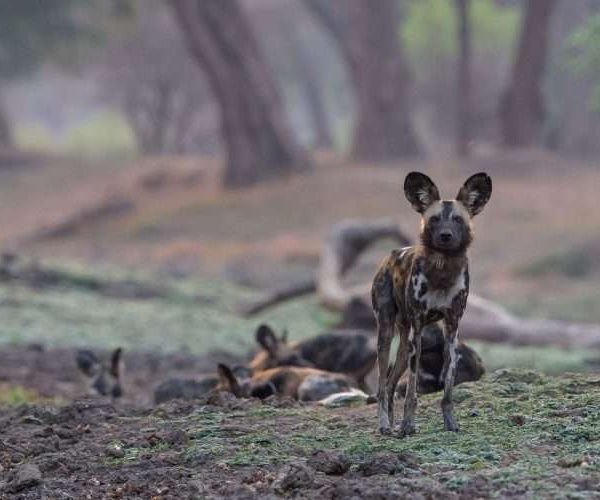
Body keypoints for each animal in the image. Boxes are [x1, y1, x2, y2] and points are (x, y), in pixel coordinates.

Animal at [372, 171, 494, 434]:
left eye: (457, 219)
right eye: (435, 219)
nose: (445, 235)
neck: (442, 270)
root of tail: (390, 256)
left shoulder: (452, 329)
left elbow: (447, 388)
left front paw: (451, 423)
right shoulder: (418, 330)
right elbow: (411, 393)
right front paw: (408, 426)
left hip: (404, 346)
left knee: (390, 383)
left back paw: (392, 423)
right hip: (387, 335)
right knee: (381, 385)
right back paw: (386, 425)